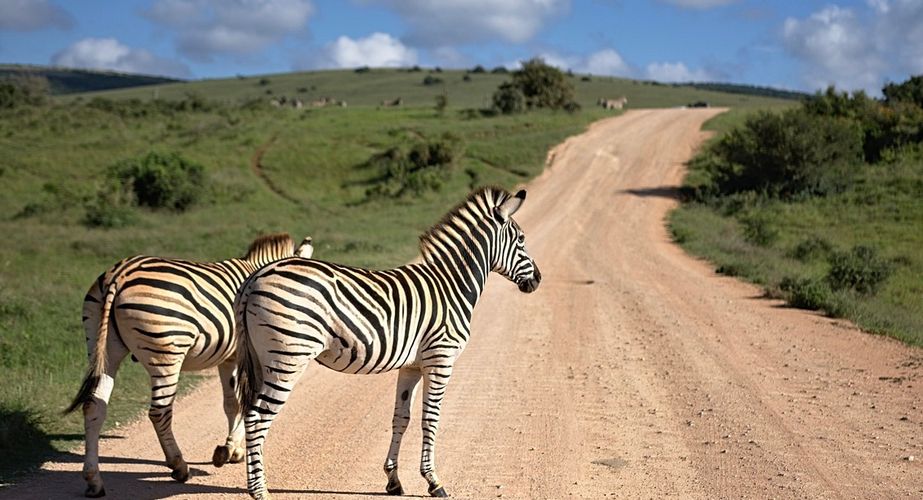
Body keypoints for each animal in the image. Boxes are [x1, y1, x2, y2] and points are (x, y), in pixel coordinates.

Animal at [65, 233, 314, 498]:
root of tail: (119, 274)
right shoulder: (244, 355)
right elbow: (244, 403)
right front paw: (230, 449)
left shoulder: (229, 358)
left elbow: (232, 403)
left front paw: (231, 450)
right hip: (166, 352)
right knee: (159, 412)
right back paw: (179, 466)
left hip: (103, 347)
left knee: (94, 406)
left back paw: (94, 480)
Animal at [234, 187, 542, 499]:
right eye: (521, 239)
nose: (538, 280)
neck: (451, 285)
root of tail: (254, 278)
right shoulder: (440, 359)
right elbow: (430, 418)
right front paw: (434, 481)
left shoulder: (412, 366)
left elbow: (401, 418)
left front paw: (393, 480)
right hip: (288, 357)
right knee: (257, 418)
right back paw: (259, 491)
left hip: (261, 358)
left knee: (249, 413)